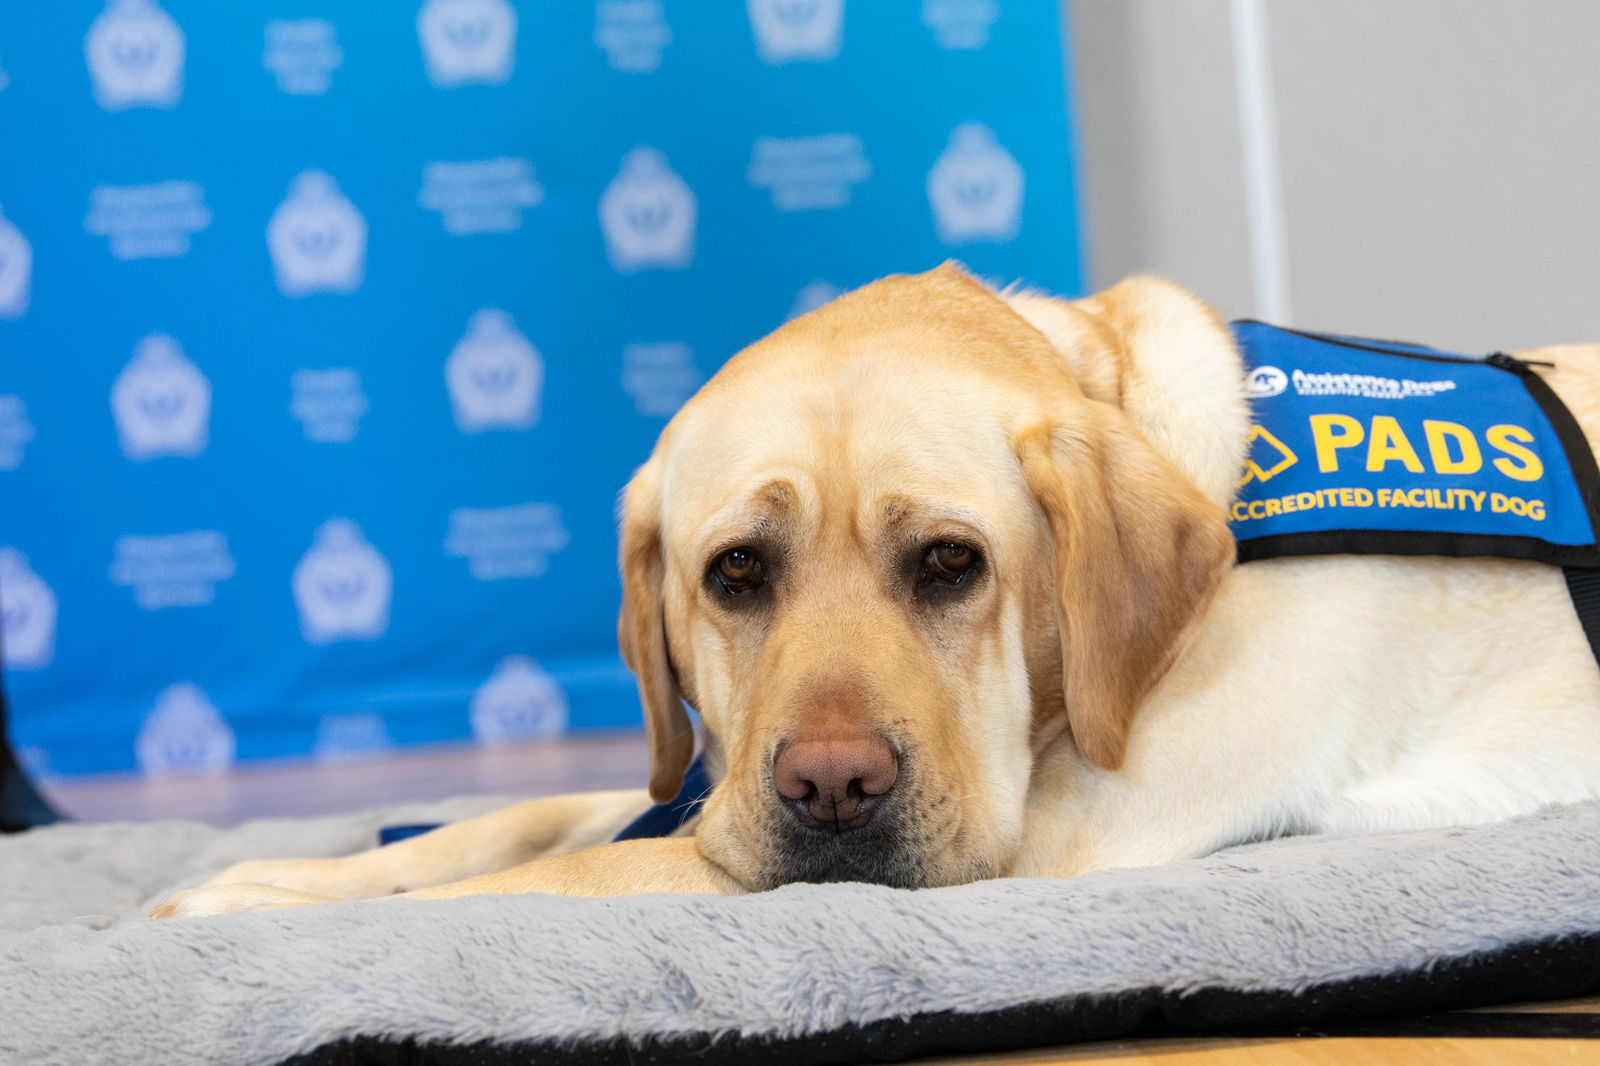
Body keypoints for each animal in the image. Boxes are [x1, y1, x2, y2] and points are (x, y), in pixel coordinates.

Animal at [156, 264, 1600, 915]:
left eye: (952, 563)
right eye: (736, 570)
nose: (833, 787)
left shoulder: (1031, 839)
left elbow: (555, 879)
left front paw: (272, 919)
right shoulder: (709, 775)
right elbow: (521, 823)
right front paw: (272, 876)